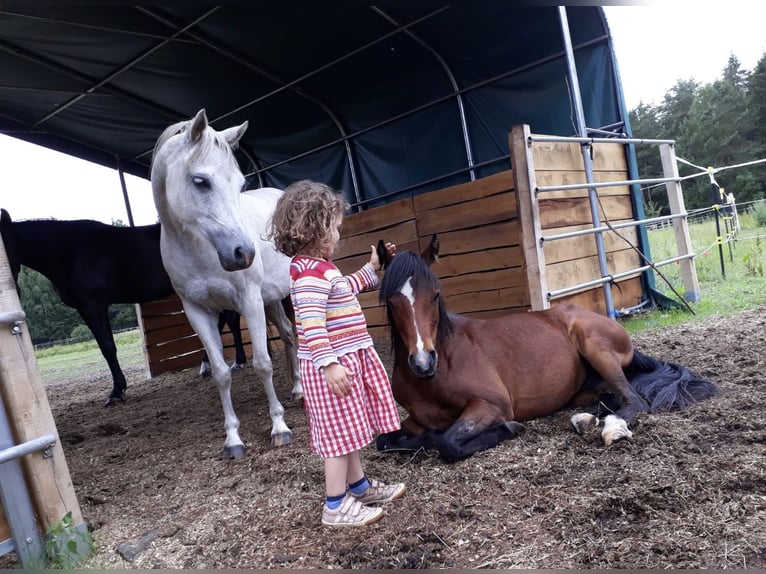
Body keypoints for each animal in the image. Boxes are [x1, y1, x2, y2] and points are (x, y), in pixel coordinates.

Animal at [0, 209, 249, 408]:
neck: (70, 252)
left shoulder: (95, 305)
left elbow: (108, 347)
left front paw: (116, 392)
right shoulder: (84, 309)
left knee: (229, 319)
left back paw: (233, 362)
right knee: (225, 320)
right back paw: (216, 364)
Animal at [376, 234, 716, 464]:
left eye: (434, 295)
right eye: (391, 301)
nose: (423, 362)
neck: (441, 367)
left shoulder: (491, 405)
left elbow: (447, 442)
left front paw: (508, 429)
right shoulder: (414, 420)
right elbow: (384, 440)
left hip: (594, 346)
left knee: (634, 401)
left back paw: (610, 427)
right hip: (581, 389)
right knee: (610, 399)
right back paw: (586, 419)